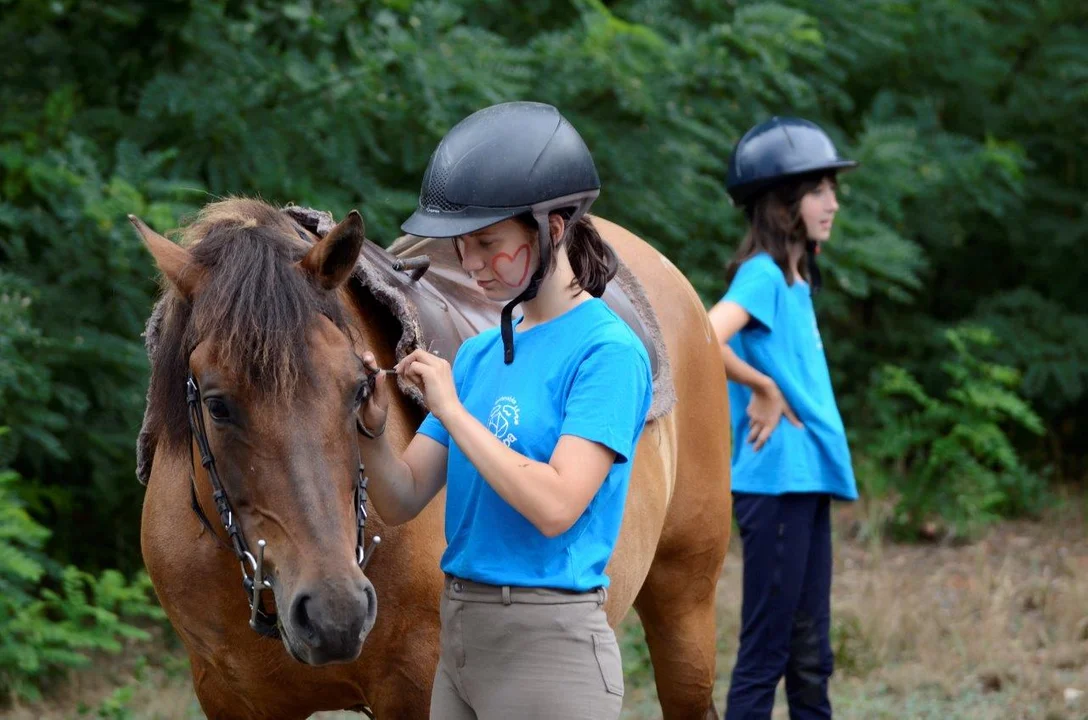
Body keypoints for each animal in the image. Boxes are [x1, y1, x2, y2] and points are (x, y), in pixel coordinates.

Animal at [133, 199, 731, 720]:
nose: (335, 613)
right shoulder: (230, 695)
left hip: (686, 604)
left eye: (358, 388)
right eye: (217, 405)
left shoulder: (419, 685)